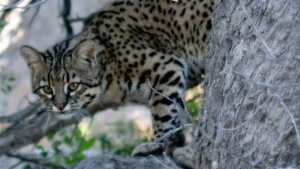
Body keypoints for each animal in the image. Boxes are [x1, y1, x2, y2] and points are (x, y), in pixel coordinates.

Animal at [21, 0, 214, 156]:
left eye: (74, 86)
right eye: (47, 88)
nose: (60, 106)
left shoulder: (167, 67)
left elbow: (162, 112)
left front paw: (155, 144)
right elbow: (176, 111)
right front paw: (176, 142)